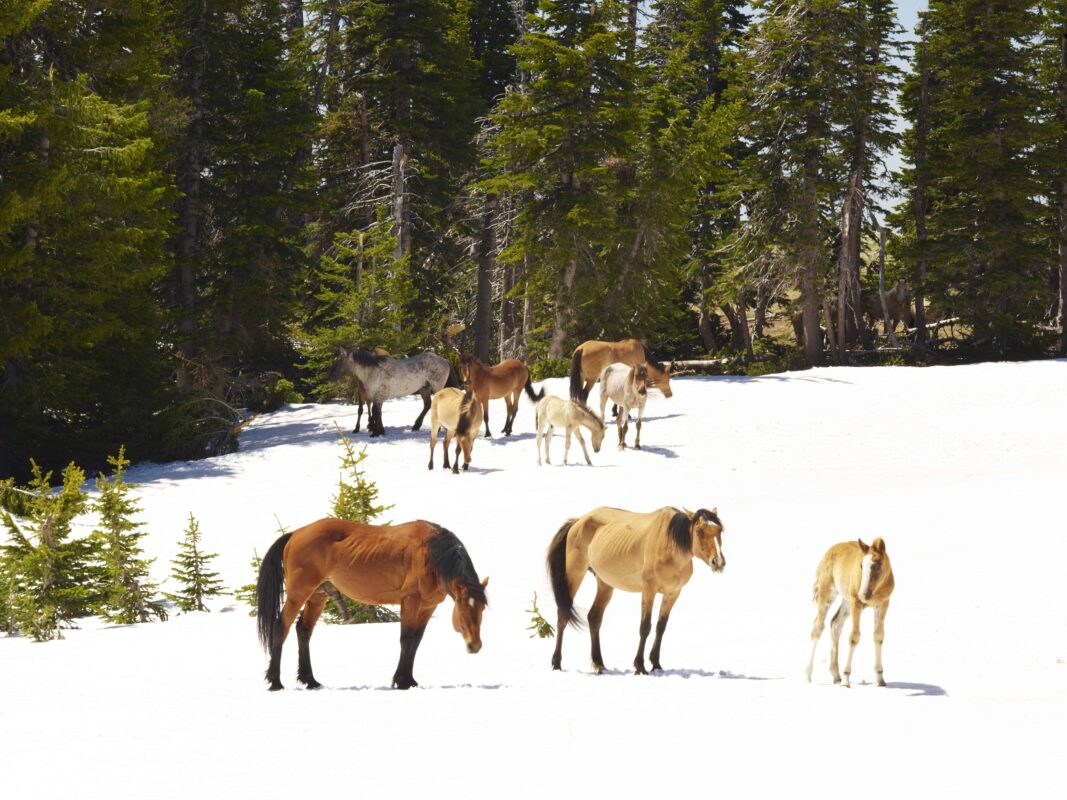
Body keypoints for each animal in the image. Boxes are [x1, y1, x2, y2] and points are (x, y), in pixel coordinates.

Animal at [256, 516, 488, 691]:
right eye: (462, 607)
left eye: (482, 608)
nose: (475, 646)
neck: (431, 554)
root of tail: (295, 534)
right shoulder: (410, 600)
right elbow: (406, 639)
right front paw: (401, 681)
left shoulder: (428, 606)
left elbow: (416, 640)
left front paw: (410, 680)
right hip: (298, 593)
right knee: (281, 626)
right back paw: (275, 682)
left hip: (318, 595)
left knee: (303, 630)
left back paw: (310, 680)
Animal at [550, 507, 725, 678]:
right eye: (699, 531)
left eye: (720, 530)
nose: (718, 562)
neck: (669, 543)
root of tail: (578, 521)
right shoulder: (649, 589)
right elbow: (645, 627)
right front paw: (640, 666)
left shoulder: (672, 593)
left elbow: (661, 627)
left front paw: (656, 664)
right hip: (575, 573)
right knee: (563, 615)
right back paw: (556, 663)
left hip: (605, 583)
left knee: (594, 617)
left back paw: (599, 665)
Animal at [802, 539, 896, 691]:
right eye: (861, 565)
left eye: (877, 565)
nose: (863, 595)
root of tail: (829, 551)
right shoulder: (856, 603)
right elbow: (854, 637)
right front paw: (846, 679)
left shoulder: (883, 604)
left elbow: (878, 636)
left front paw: (880, 679)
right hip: (827, 594)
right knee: (817, 628)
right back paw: (807, 676)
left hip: (846, 601)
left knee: (835, 624)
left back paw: (836, 675)